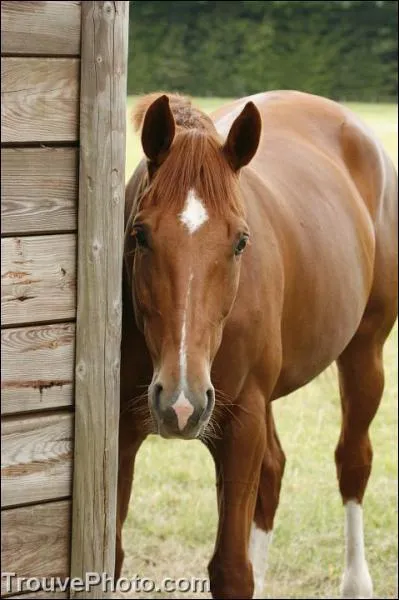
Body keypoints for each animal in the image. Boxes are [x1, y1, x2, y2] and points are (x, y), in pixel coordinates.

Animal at [117, 90, 398, 600]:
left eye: (241, 241)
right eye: (140, 235)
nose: (181, 403)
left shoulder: (241, 422)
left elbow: (231, 570)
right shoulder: (123, 432)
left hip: (365, 353)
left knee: (353, 460)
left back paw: (356, 582)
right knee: (273, 471)